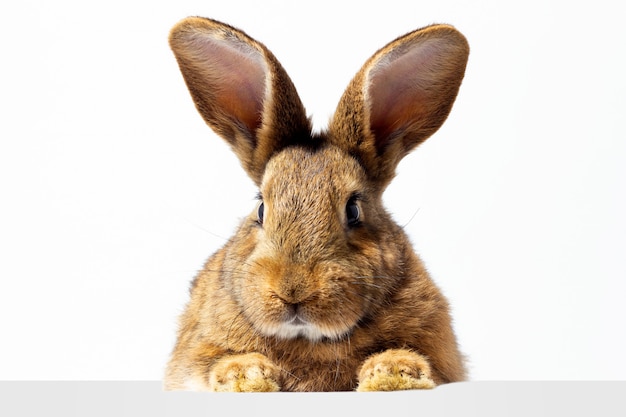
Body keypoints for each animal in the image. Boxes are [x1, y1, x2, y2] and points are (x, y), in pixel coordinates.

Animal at [163, 16, 466, 392]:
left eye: (353, 210)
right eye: (260, 209)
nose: (293, 291)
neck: (309, 339)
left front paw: (394, 372)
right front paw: (246, 376)